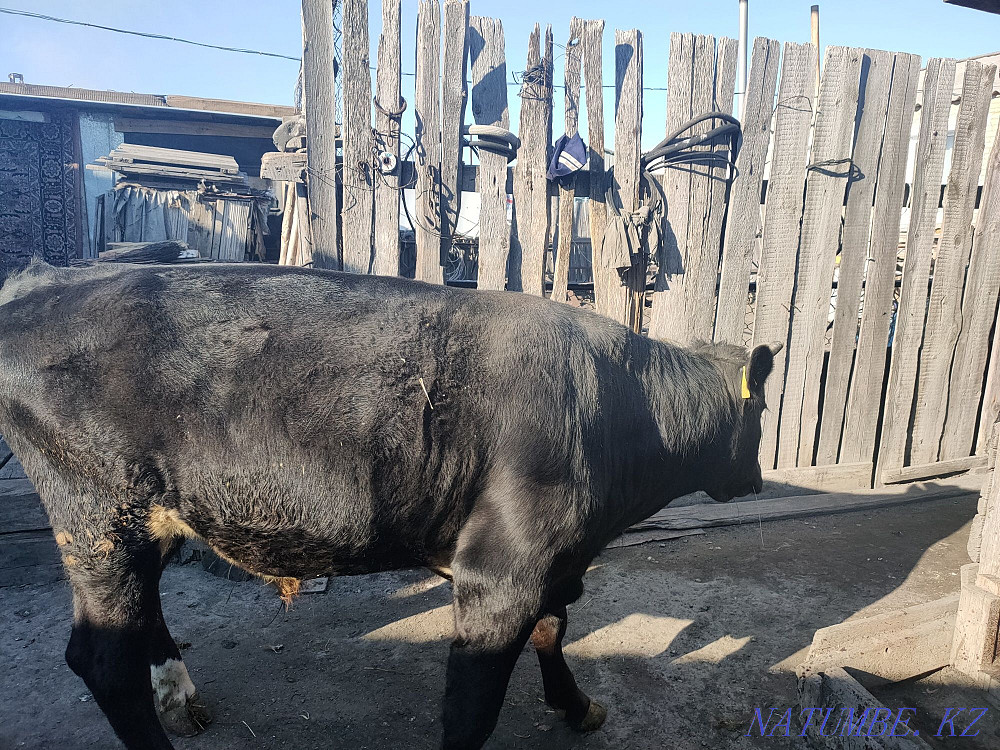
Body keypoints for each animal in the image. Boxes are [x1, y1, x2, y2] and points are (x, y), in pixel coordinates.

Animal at [0, 260, 779, 750]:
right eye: (762, 413)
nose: (757, 476)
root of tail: (42, 282)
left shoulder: (553, 560)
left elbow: (552, 630)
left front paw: (578, 707)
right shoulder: (502, 569)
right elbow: (474, 704)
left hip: (147, 522)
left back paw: (183, 697)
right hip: (97, 518)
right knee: (102, 659)